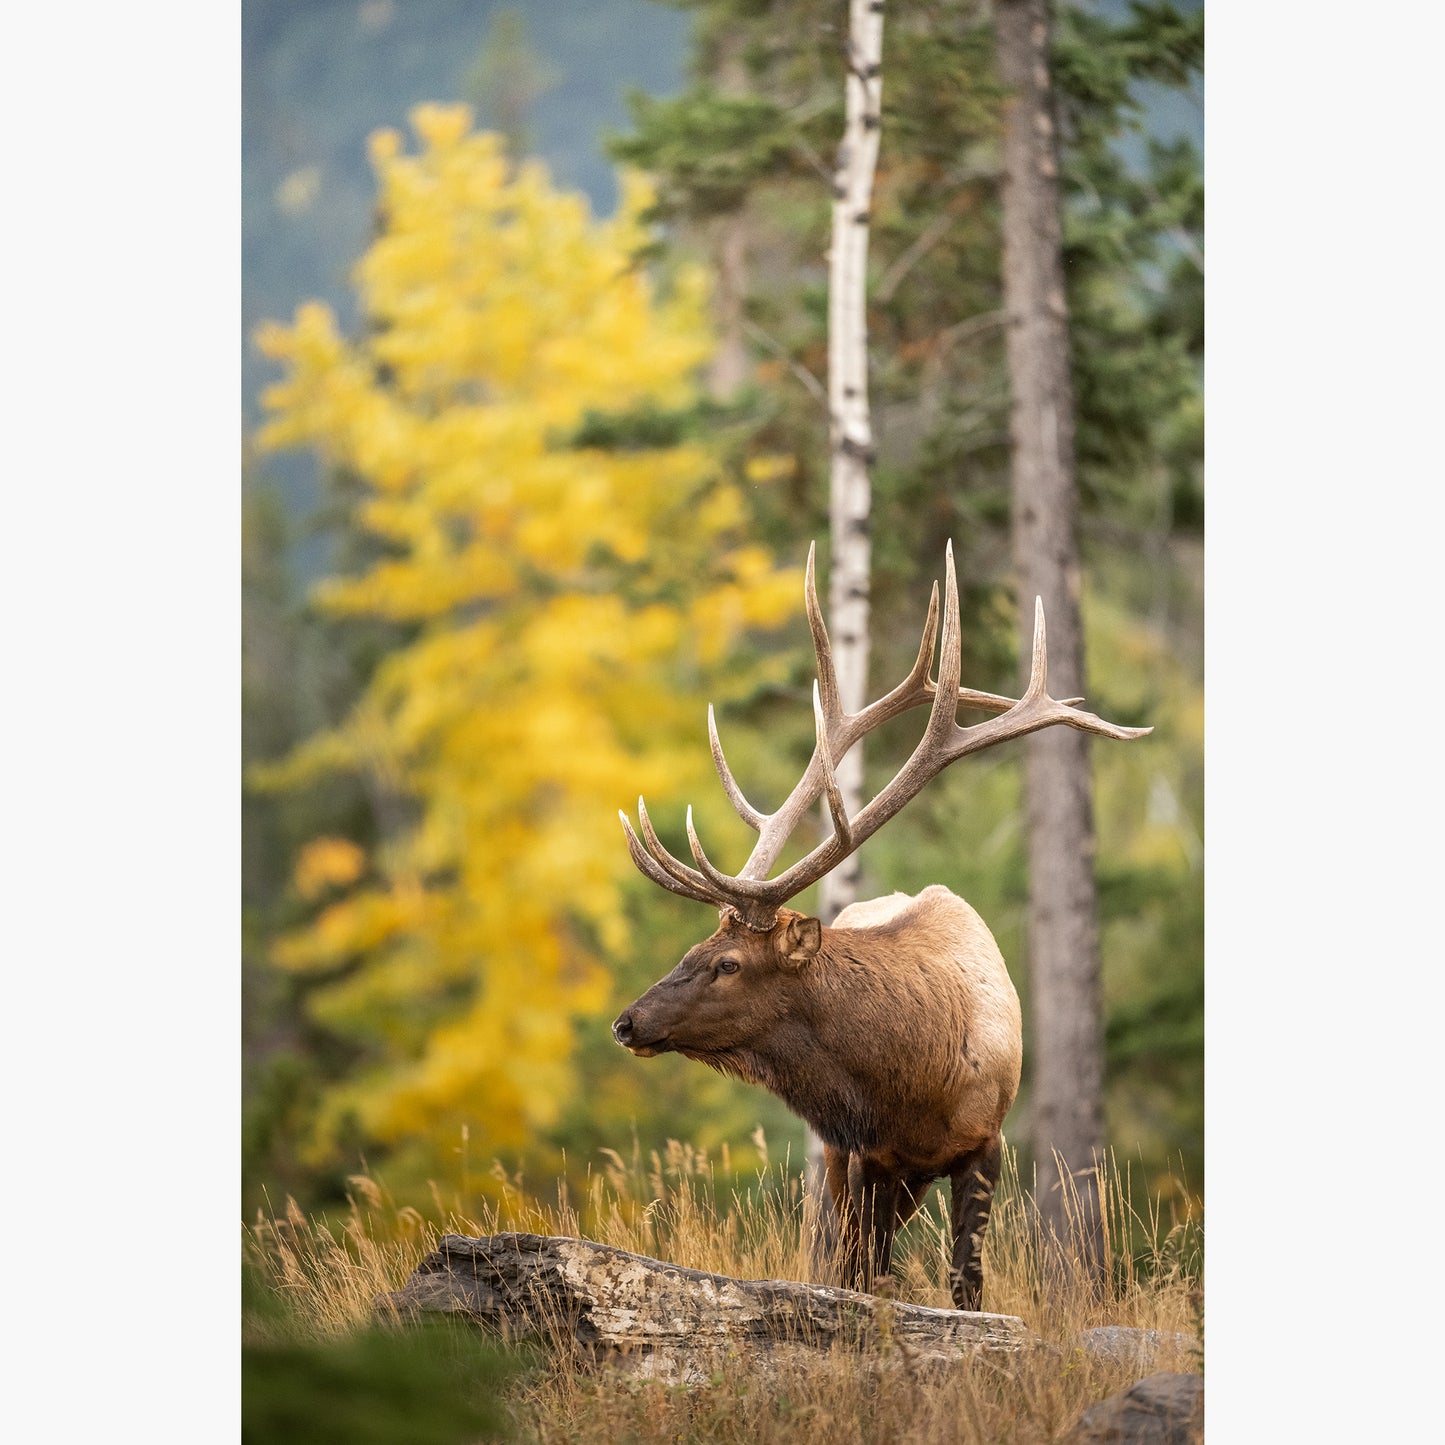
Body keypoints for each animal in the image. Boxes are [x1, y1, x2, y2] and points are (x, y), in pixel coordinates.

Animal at [612, 543, 1150, 1312]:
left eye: (728, 963)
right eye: (696, 946)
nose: (627, 1021)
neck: (914, 1080)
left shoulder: (984, 1142)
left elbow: (965, 1282)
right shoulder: (865, 1154)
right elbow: (862, 1277)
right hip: (843, 1167)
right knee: (837, 1251)